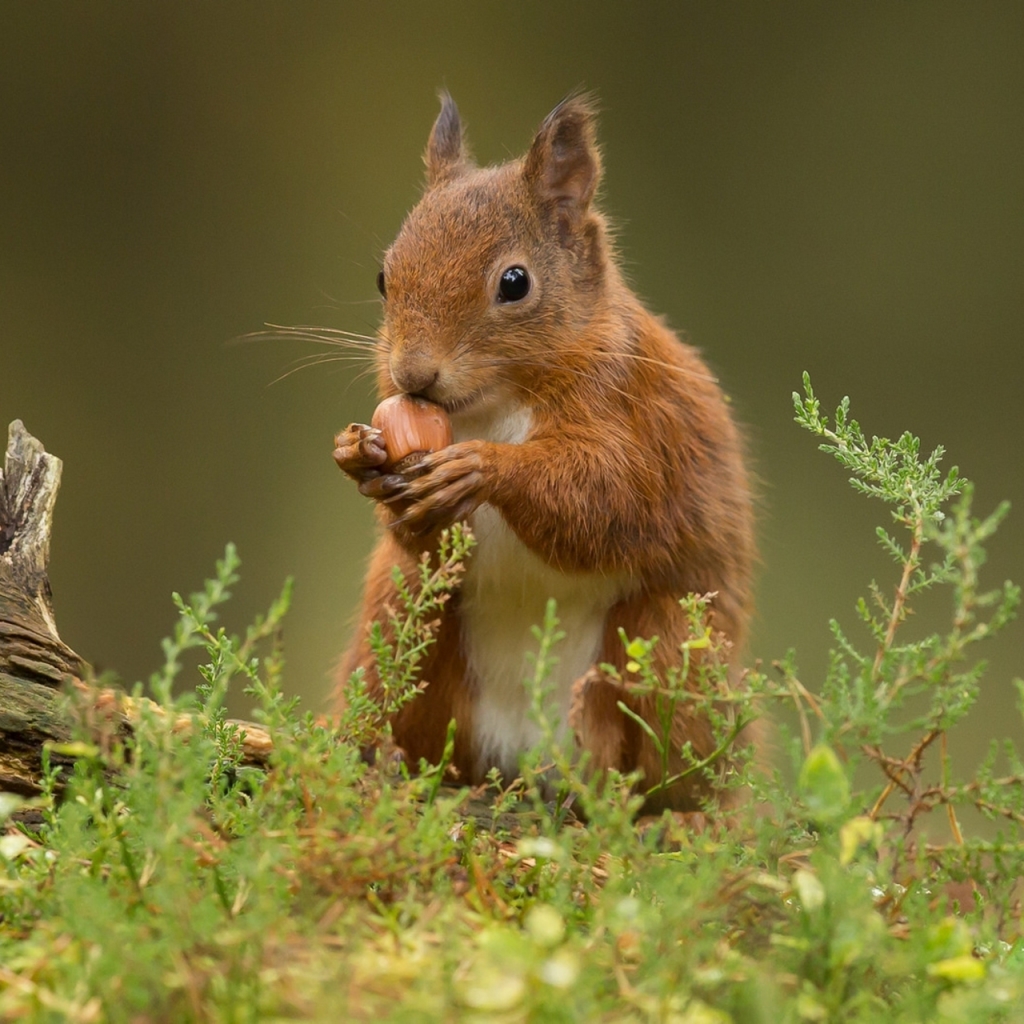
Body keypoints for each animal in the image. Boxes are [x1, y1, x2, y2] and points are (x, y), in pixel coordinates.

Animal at [331, 92, 757, 811]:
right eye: (385, 276)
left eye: (514, 282)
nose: (412, 375)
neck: (494, 404)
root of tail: (524, 759)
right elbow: (422, 538)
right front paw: (360, 456)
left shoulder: (642, 423)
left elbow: (606, 500)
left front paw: (483, 469)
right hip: (397, 620)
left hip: (669, 645)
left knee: (675, 769)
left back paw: (674, 812)